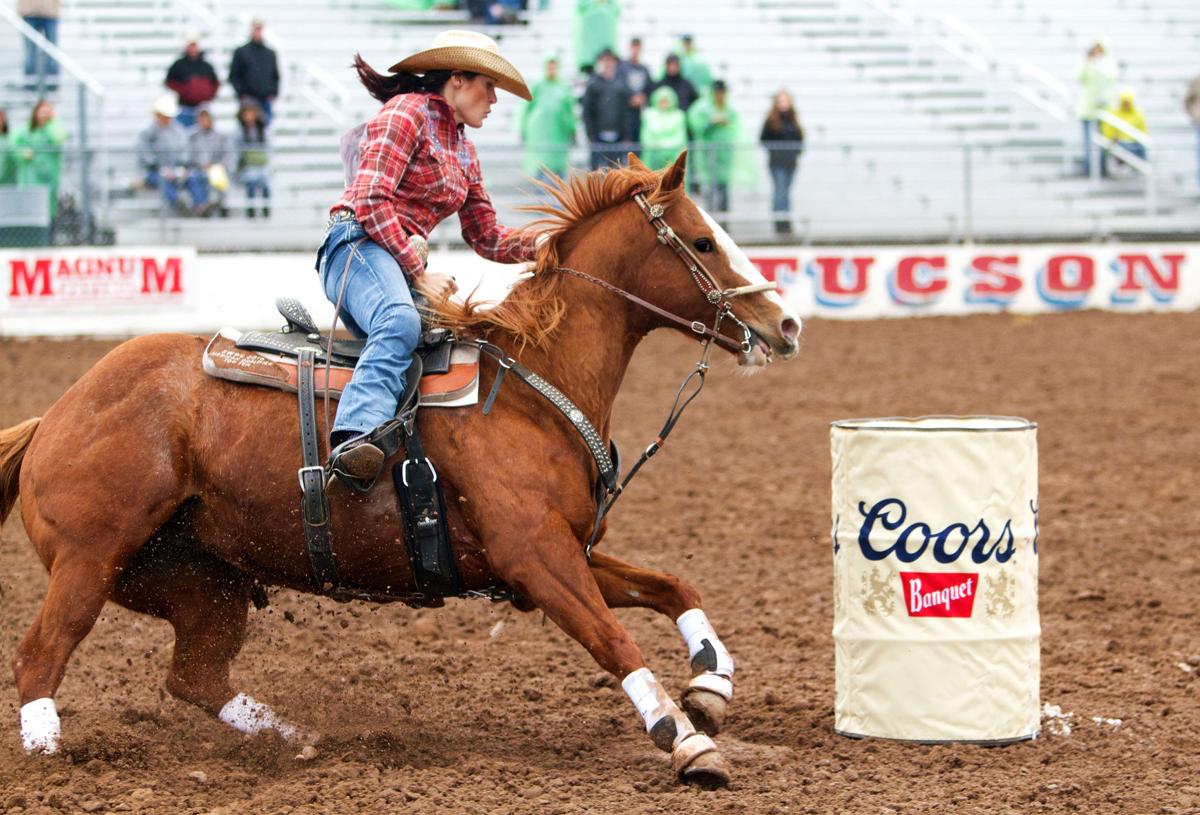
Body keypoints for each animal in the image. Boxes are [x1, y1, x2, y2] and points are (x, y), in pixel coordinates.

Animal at [2, 151, 806, 782]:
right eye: (703, 240)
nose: (786, 323)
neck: (533, 386)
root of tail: (53, 417)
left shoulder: (560, 550)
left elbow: (673, 585)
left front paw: (713, 682)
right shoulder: (536, 556)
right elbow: (613, 640)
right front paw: (685, 737)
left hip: (204, 580)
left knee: (194, 675)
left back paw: (298, 740)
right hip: (91, 558)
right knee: (41, 653)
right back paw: (48, 756)